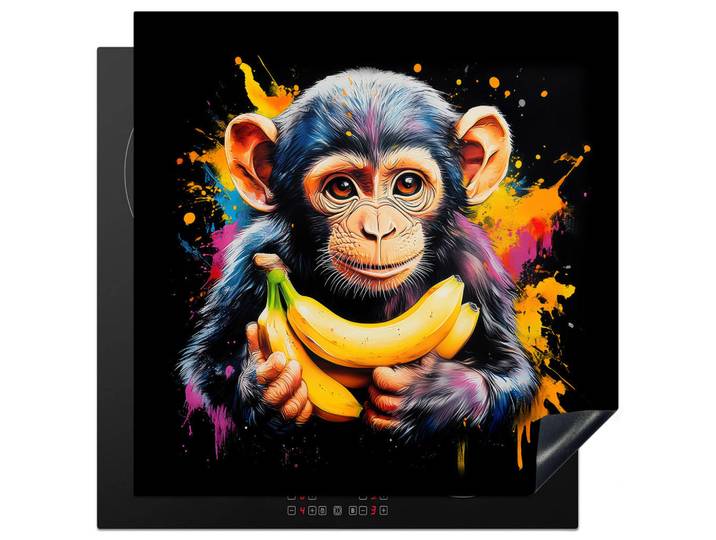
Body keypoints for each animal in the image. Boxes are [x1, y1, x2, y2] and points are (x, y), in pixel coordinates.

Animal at [179, 68, 539, 442]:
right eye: (341, 188)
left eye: (408, 184)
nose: (378, 229)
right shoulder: (249, 261)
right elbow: (205, 367)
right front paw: (270, 389)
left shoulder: (476, 264)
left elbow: (512, 370)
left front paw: (429, 394)